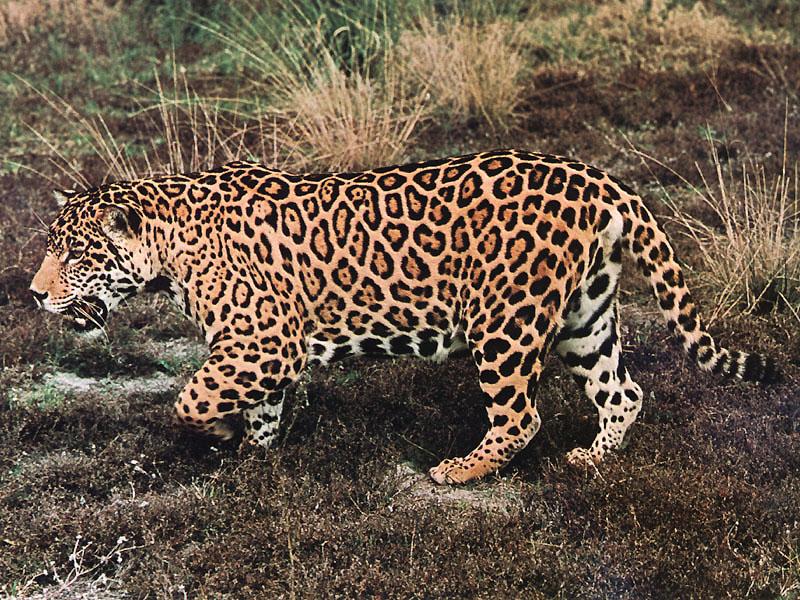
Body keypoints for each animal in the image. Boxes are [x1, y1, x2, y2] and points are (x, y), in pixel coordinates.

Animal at [30, 149, 777, 484]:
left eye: (74, 254)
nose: (34, 294)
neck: (169, 245)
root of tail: (599, 178)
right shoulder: (258, 349)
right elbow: (257, 409)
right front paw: (252, 453)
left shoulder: (264, 341)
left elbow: (190, 398)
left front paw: (216, 434)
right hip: (585, 316)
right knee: (624, 390)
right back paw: (594, 457)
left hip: (505, 320)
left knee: (521, 416)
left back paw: (461, 470)